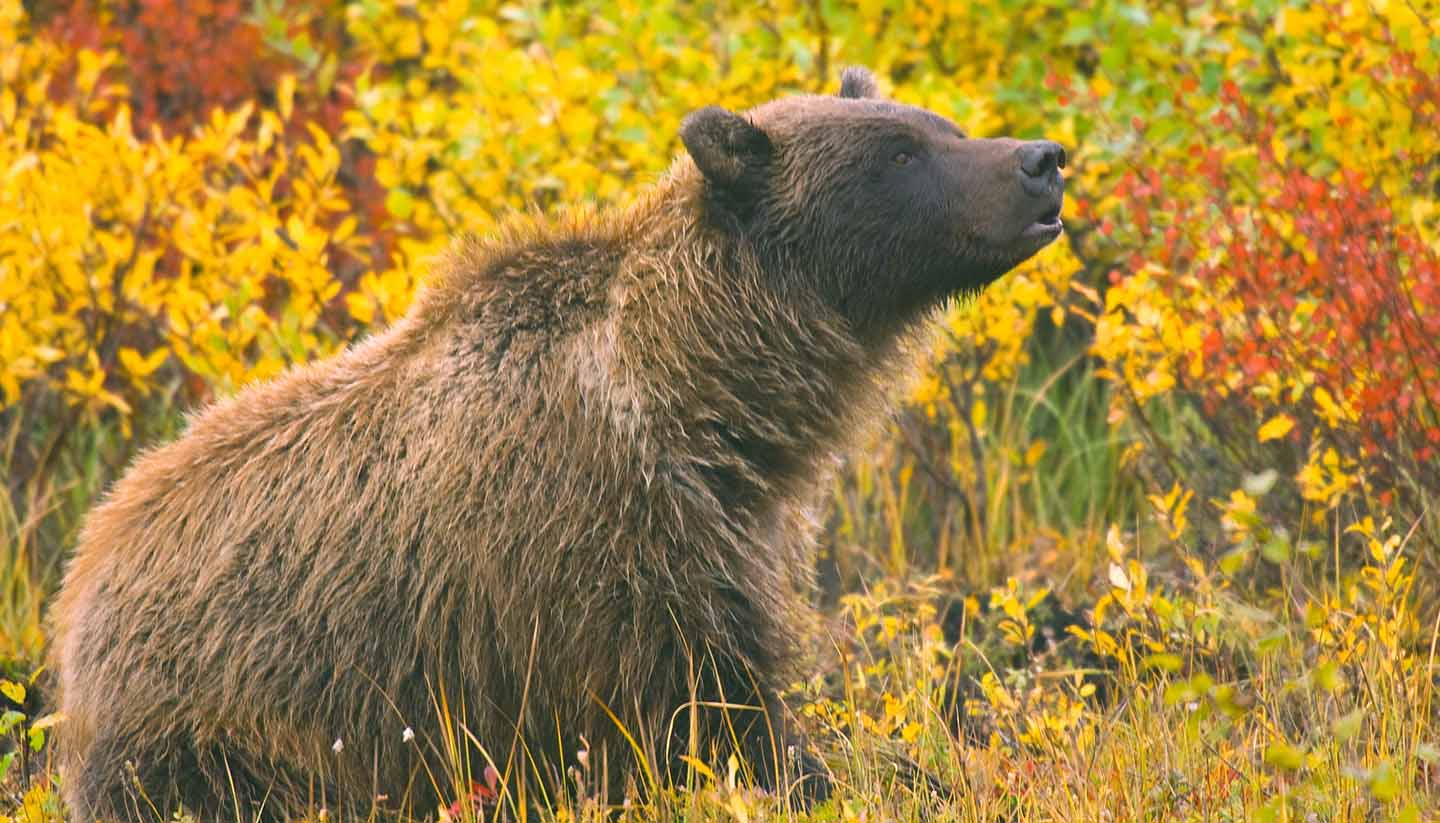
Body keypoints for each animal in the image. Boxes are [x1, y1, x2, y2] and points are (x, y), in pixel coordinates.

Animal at [50, 66, 1065, 821]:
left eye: (937, 122)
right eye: (899, 152)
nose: (1042, 159)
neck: (710, 402)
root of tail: (90, 557)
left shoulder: (740, 527)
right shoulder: (598, 549)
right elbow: (705, 717)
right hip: (225, 713)